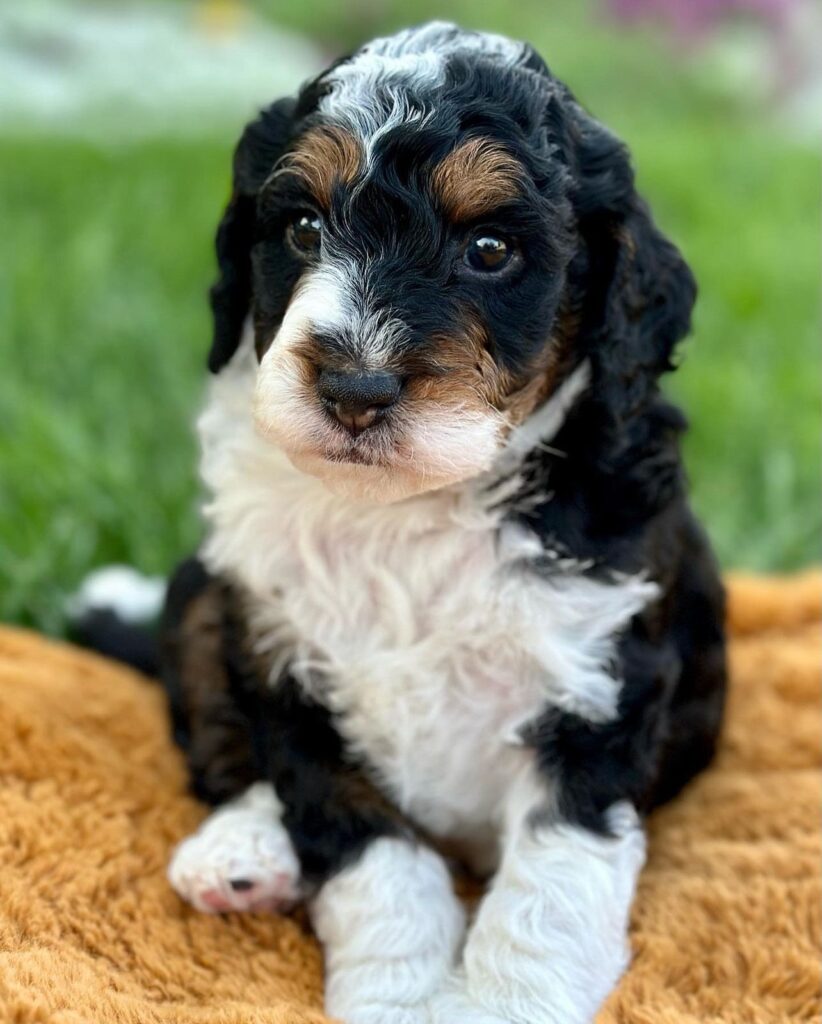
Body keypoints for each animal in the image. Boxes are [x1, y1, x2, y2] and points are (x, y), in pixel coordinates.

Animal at [157, 22, 724, 1024]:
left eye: (490, 250)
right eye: (302, 230)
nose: (354, 388)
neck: (410, 507)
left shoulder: (601, 682)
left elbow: (550, 885)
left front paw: (501, 1003)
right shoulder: (280, 653)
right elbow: (374, 855)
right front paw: (401, 992)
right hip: (204, 597)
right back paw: (242, 853)